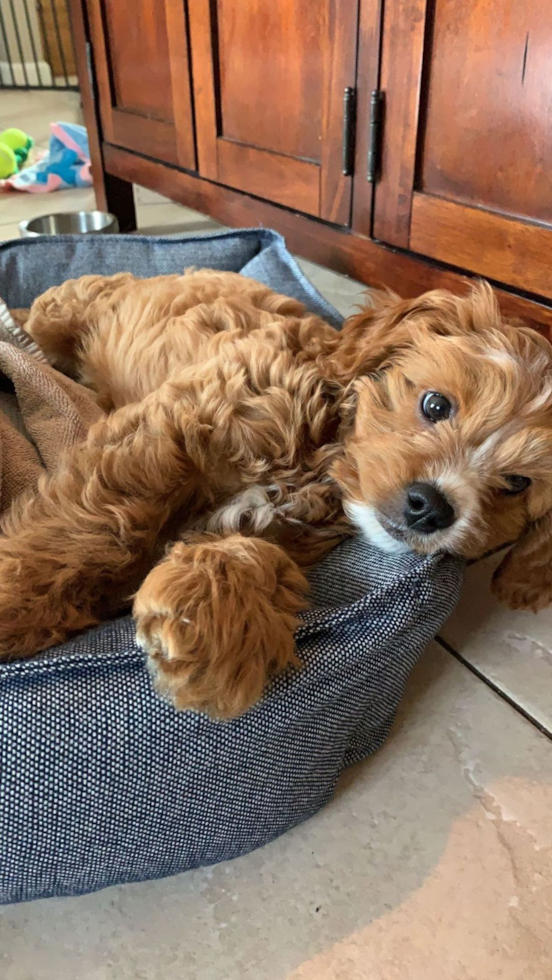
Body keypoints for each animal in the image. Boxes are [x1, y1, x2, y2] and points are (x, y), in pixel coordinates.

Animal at [1, 272, 552, 716]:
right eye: (436, 405)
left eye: (517, 483)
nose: (431, 507)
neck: (322, 456)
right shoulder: (175, 427)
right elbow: (95, 523)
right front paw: (15, 602)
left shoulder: (279, 523)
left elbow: (248, 551)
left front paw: (212, 635)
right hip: (64, 311)